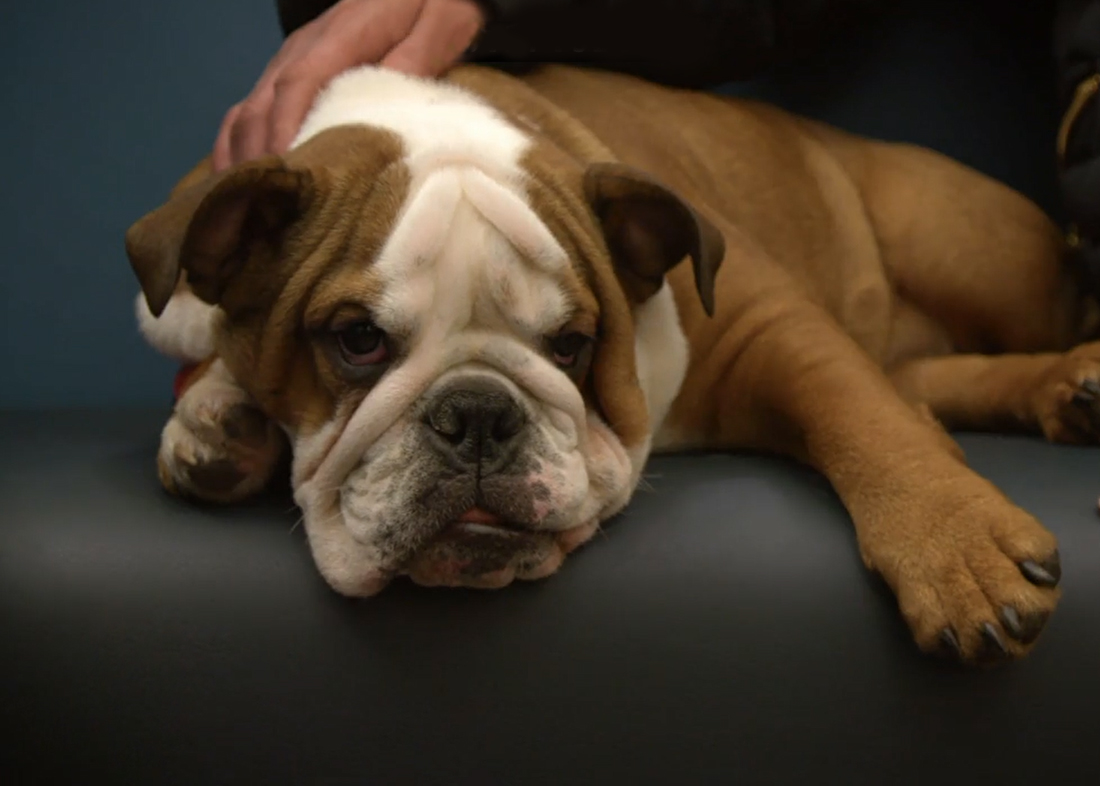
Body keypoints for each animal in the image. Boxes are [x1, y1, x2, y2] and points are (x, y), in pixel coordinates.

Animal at [126, 64, 1091, 663]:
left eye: (572, 343)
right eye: (357, 339)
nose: (478, 412)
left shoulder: (771, 327)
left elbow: (863, 417)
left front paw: (956, 549)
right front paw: (217, 418)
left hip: (964, 245)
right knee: (923, 374)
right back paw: (1068, 390)